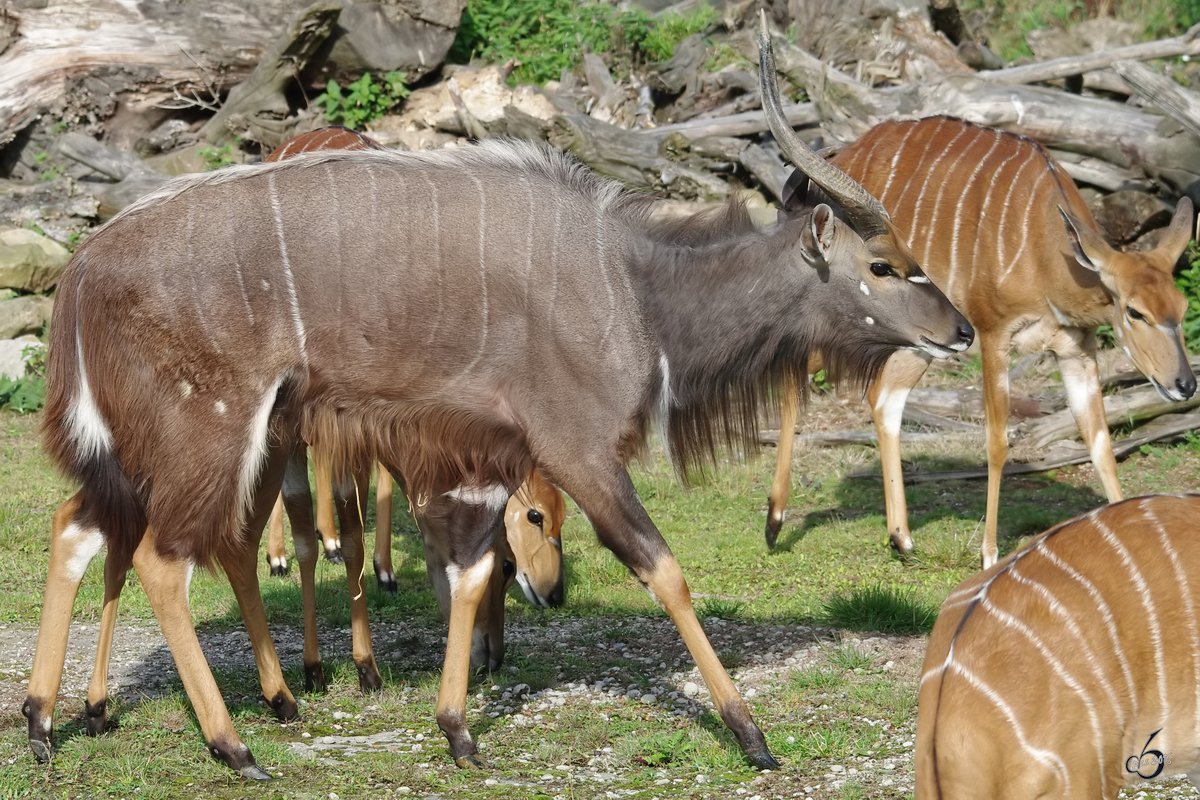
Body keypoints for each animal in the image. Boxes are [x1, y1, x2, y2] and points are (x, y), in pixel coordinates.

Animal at [23, 23, 969, 777]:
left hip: (160, 450)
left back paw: (48, 721)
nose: (959, 330)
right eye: (883, 265)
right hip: (212, 435)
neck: (637, 291)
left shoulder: (490, 464)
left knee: (81, 527)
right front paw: (751, 733)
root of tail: (82, 269)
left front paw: (457, 729)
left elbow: (474, 572)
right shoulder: (580, 451)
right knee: (162, 558)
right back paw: (233, 743)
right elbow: (662, 570)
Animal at [763, 113, 1195, 568]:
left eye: (1182, 307)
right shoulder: (992, 334)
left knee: (884, 398)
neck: (1047, 252)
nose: (1185, 384)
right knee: (794, 367)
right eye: (1135, 311)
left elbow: (1101, 444)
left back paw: (902, 539)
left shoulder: (1077, 350)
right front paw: (989, 556)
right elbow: (997, 443)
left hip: (924, 337)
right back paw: (774, 522)